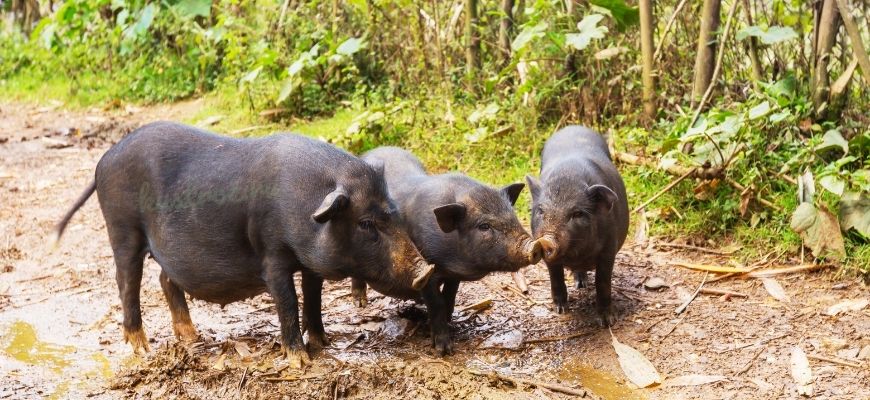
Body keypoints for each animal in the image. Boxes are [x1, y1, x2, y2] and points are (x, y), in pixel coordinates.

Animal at [54, 122, 436, 368]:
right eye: (366, 223)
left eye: (393, 213)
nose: (425, 269)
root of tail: (105, 159)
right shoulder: (272, 256)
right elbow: (288, 302)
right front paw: (299, 360)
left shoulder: (310, 263)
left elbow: (314, 299)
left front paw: (325, 343)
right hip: (122, 230)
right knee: (126, 283)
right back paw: (142, 350)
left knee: (165, 278)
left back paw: (191, 337)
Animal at [350, 148, 540, 356]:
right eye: (484, 226)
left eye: (513, 216)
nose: (535, 246)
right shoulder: (426, 269)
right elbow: (437, 303)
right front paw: (444, 350)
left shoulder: (453, 274)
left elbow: (450, 295)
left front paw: (450, 321)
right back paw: (360, 304)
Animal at [524, 126, 628, 326]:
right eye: (540, 210)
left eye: (577, 214)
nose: (546, 240)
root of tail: (572, 127)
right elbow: (555, 278)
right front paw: (560, 310)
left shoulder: (609, 249)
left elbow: (603, 282)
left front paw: (606, 322)